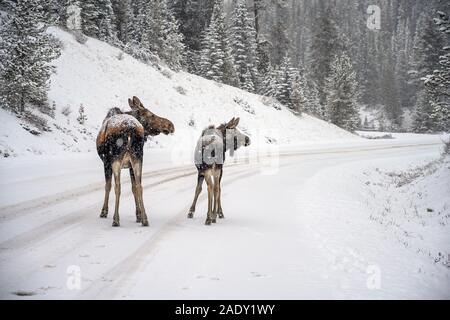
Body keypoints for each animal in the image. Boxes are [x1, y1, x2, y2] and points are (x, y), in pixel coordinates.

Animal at [96, 96, 174, 226]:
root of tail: (130, 128)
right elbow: (133, 187)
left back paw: (116, 219)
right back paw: (145, 219)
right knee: (139, 186)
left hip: (116, 159)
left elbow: (108, 186)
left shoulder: (106, 162)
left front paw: (104, 212)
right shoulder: (129, 165)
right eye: (151, 114)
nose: (170, 125)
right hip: (138, 158)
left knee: (118, 186)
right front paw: (138, 215)